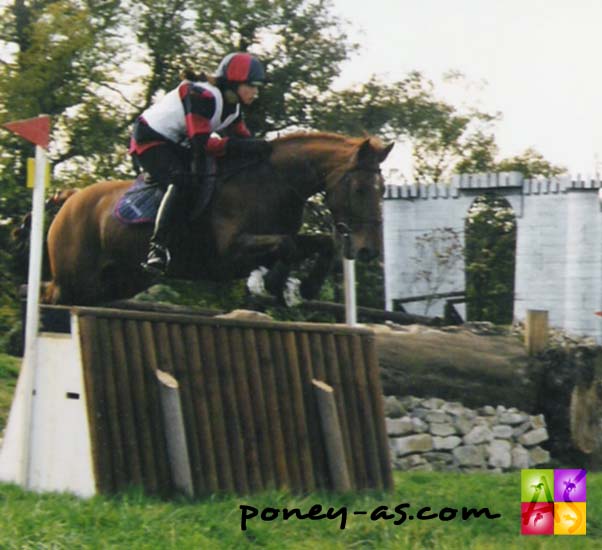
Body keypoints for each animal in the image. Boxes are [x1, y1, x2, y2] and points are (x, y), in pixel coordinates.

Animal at [47, 132, 394, 308]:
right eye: (360, 189)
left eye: (383, 190)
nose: (368, 251)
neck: (273, 181)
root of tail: (72, 198)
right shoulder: (230, 253)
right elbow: (287, 246)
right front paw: (273, 283)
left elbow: (316, 243)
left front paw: (303, 287)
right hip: (75, 281)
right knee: (51, 297)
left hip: (118, 283)